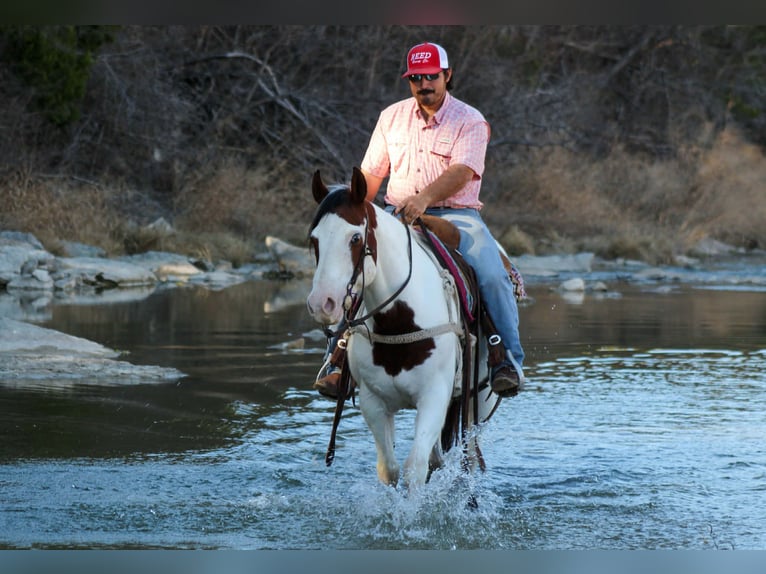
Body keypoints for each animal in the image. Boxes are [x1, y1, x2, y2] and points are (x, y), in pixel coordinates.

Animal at [306, 166, 501, 490]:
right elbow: (390, 469)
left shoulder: (434, 396)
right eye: (315, 240)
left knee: (470, 458)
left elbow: (414, 468)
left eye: (355, 237)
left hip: (478, 402)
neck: (399, 322)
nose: (322, 304)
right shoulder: (373, 401)